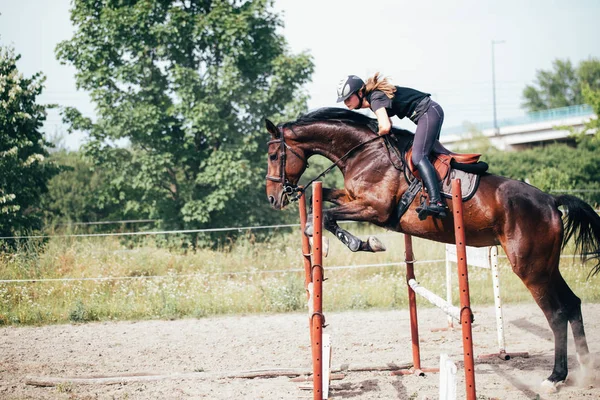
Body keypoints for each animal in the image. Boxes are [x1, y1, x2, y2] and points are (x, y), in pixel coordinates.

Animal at [264, 107, 600, 390]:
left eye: (273, 155)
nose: (273, 198)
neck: (364, 153)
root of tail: (551, 201)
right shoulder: (353, 198)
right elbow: (323, 203)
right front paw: (329, 233)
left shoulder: (375, 209)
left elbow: (329, 215)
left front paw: (362, 242)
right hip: (546, 265)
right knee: (572, 304)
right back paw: (585, 370)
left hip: (530, 267)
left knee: (556, 313)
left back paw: (555, 378)